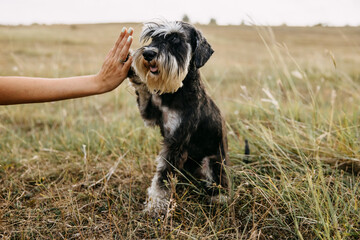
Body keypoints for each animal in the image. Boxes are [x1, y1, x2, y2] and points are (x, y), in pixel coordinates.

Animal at [127, 20, 228, 212]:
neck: (177, 91)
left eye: (176, 39)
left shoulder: (176, 142)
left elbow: (163, 177)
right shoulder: (151, 115)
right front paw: (135, 74)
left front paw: (155, 206)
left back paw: (219, 199)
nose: (148, 53)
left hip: (212, 161)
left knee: (219, 183)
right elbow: (144, 93)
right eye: (153, 37)